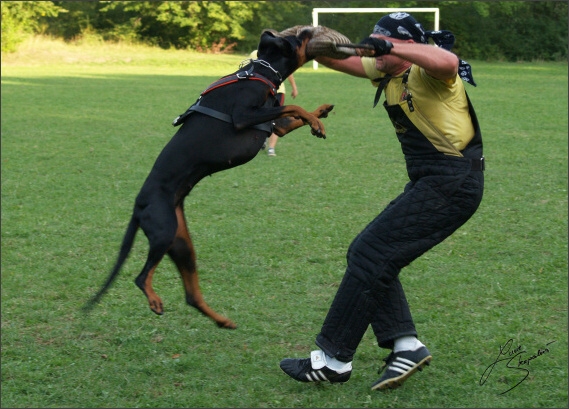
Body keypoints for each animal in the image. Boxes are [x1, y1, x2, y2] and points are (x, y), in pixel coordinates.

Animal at [82, 26, 362, 328]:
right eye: (299, 38)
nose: (310, 29)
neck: (260, 71)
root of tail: (138, 205)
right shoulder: (243, 116)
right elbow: (294, 109)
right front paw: (317, 120)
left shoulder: (274, 125)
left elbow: (295, 113)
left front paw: (320, 113)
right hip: (164, 230)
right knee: (141, 277)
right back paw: (155, 299)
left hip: (181, 242)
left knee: (191, 295)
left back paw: (222, 321)